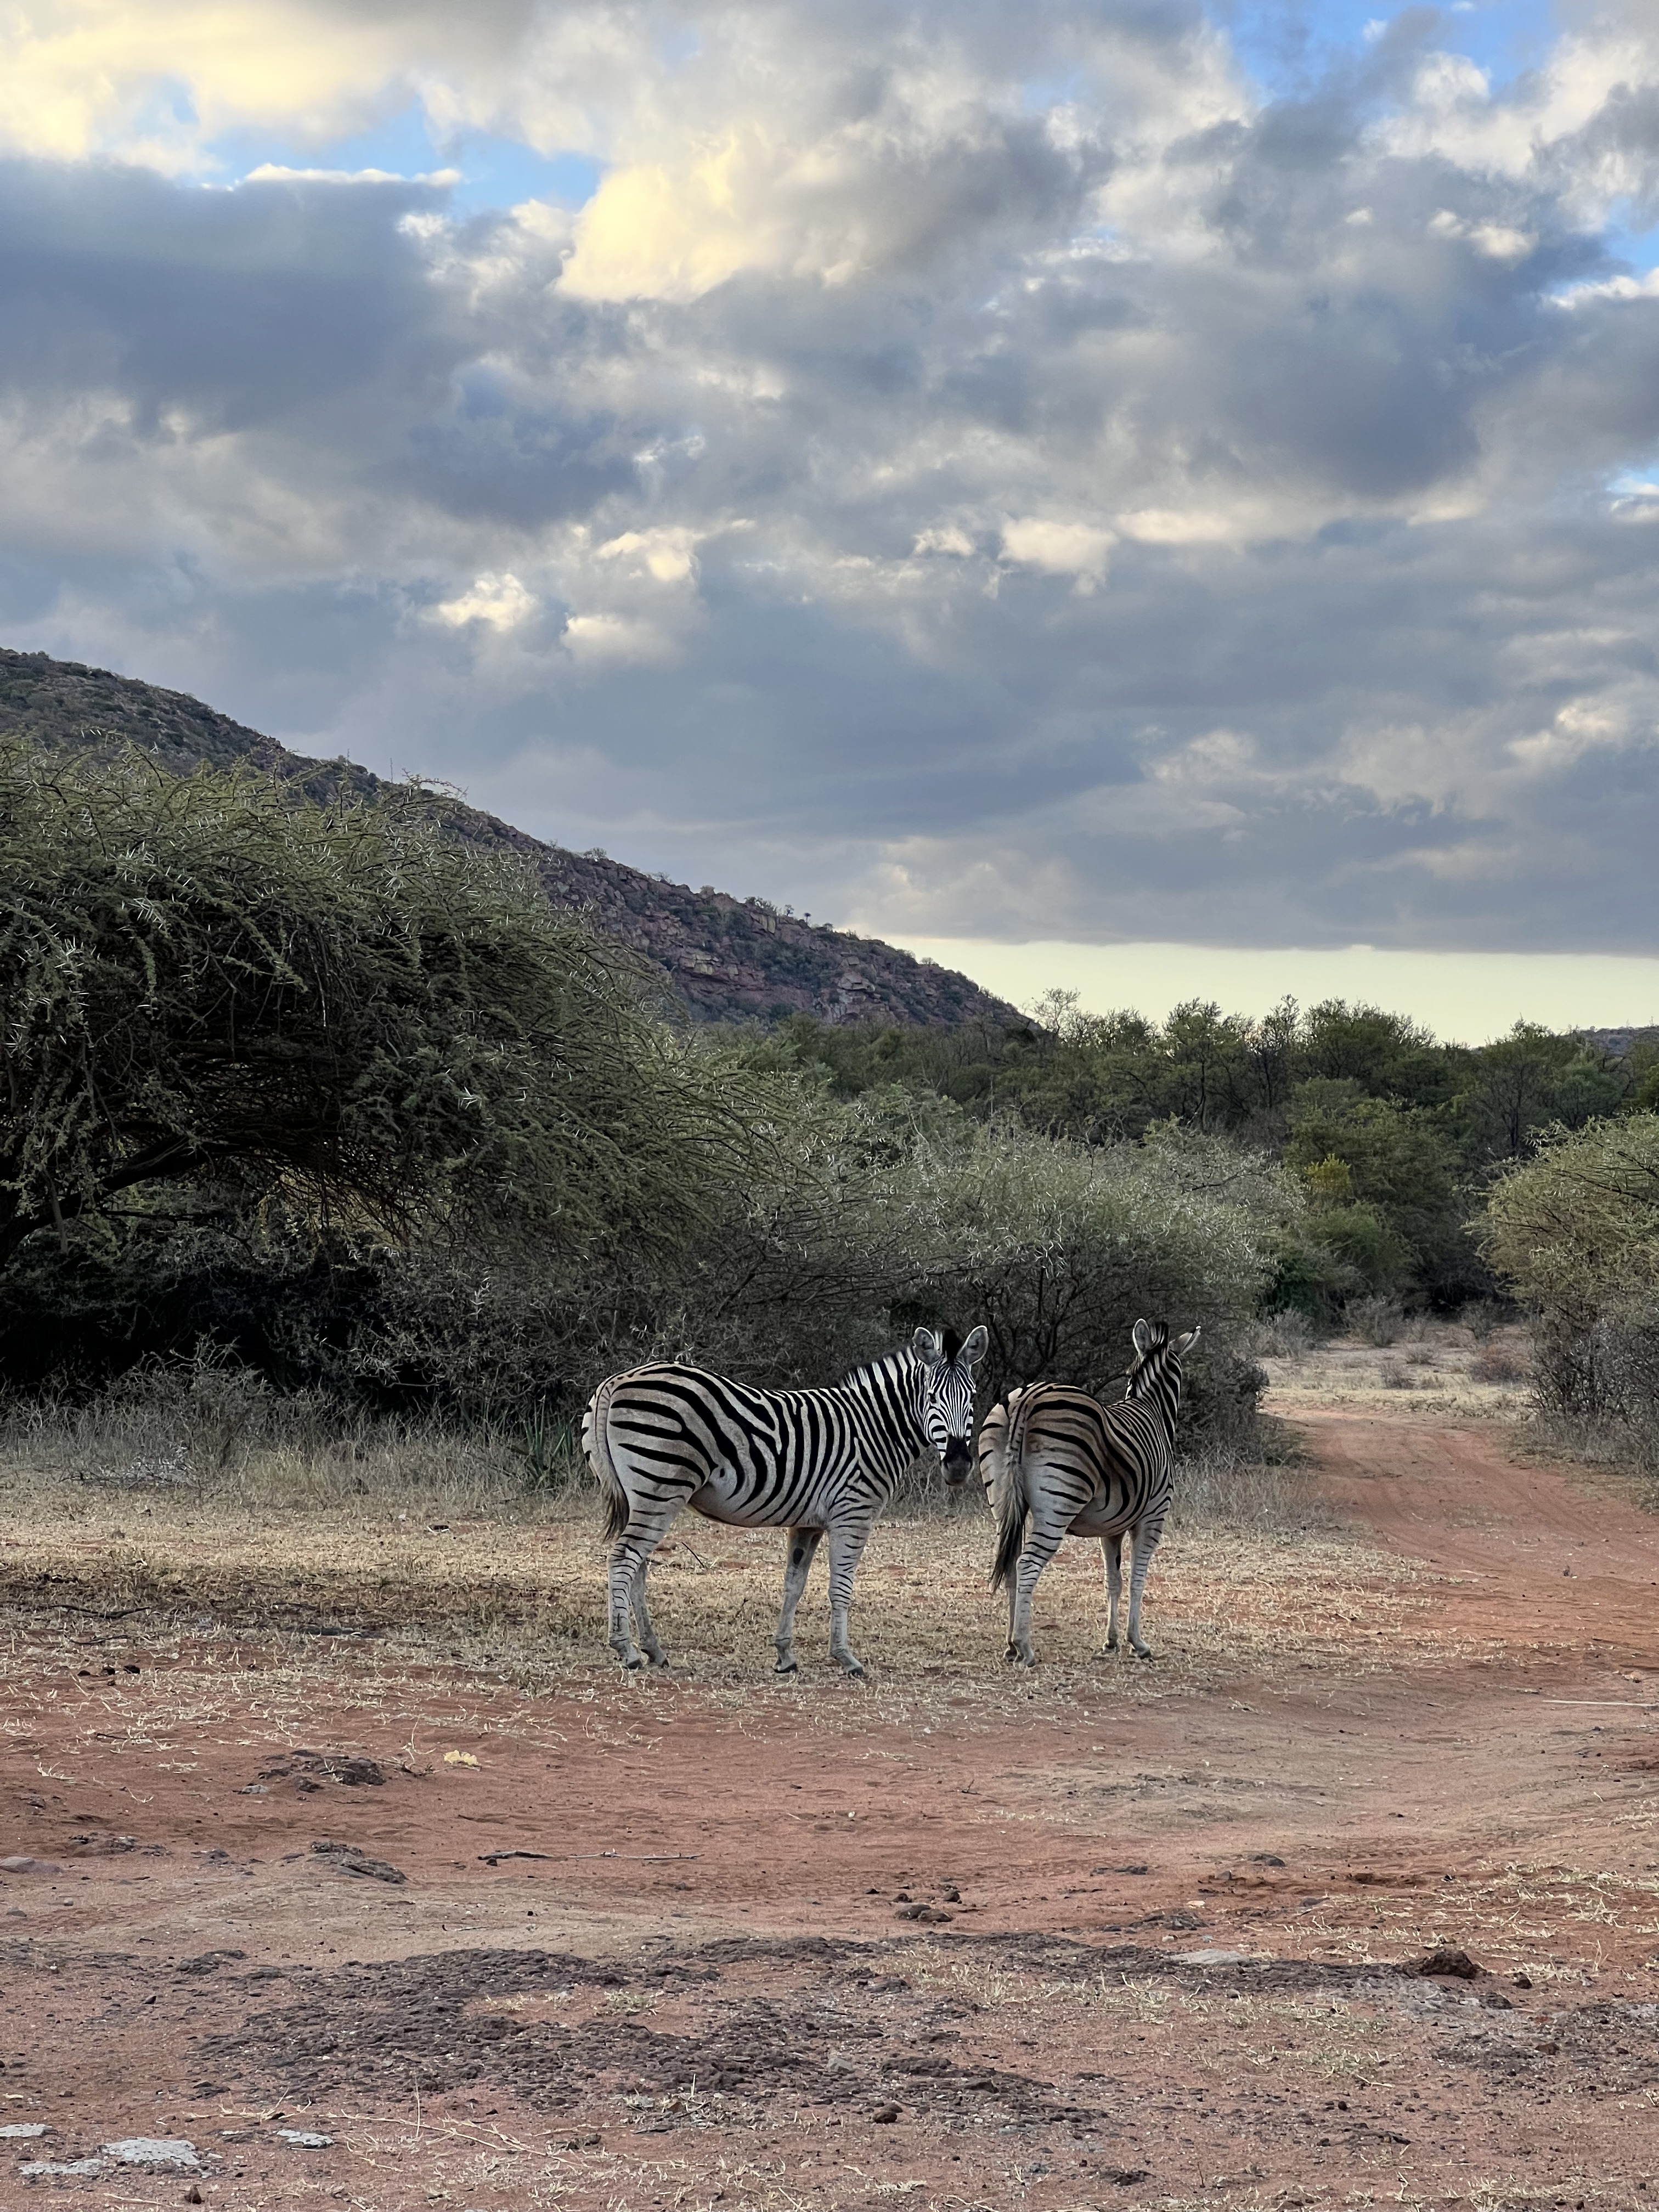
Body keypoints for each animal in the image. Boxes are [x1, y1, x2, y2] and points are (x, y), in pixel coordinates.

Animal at [583, 1325, 988, 1676]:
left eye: (972, 1398)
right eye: (932, 1398)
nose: (958, 1466)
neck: (875, 1429)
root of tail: (617, 1381)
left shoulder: (808, 1522)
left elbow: (794, 1584)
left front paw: (785, 1655)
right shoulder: (853, 1512)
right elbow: (840, 1588)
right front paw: (846, 1658)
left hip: (646, 1494)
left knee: (638, 1564)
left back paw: (653, 1649)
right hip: (662, 1485)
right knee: (624, 1558)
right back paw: (627, 1650)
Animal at [979, 1320, 1199, 1666]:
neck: (1152, 1408)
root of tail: (1027, 1399)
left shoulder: (1112, 1528)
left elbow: (1114, 1582)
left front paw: (1111, 1641)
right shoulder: (1153, 1517)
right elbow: (1137, 1581)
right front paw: (1137, 1642)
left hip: (1002, 1502)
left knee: (1011, 1564)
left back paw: (1011, 1645)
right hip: (1058, 1506)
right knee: (1026, 1565)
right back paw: (1024, 1647)